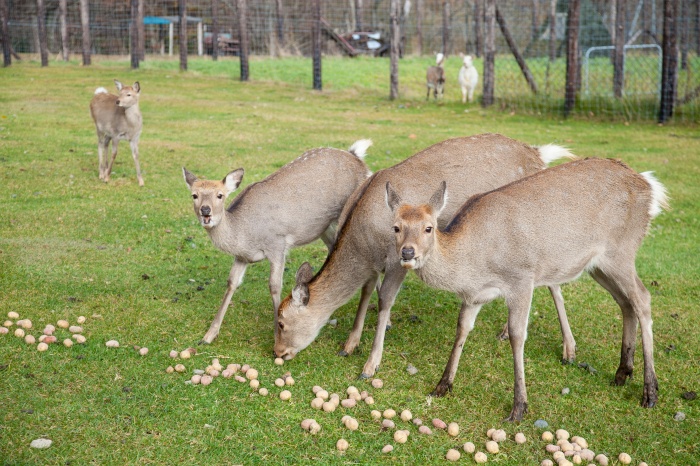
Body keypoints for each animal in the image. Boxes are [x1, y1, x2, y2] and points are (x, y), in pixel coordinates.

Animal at [185, 140, 372, 344]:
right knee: (334, 248)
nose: (205, 211)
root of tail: (357, 156)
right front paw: (208, 335)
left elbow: (274, 286)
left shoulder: (277, 245)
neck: (245, 234)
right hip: (324, 227)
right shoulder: (242, 256)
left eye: (220, 195)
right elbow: (232, 282)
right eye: (194, 195)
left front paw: (276, 332)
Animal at [270, 135, 576, 374]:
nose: (277, 352)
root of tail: (538, 154)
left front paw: (371, 364)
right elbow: (366, 291)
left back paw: (568, 350)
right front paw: (349, 344)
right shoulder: (375, 263)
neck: (362, 241)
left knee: (553, 280)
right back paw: (507, 331)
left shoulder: (398, 260)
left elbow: (384, 300)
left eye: (282, 323)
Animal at [386, 157, 668, 422]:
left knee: (643, 298)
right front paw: (442, 385)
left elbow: (517, 335)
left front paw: (519, 406)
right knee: (625, 302)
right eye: (396, 227)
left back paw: (650, 391)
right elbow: (462, 328)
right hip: (597, 265)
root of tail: (647, 185)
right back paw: (622, 373)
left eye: (428, 227)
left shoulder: (521, 278)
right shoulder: (475, 296)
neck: (474, 264)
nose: (408, 253)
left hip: (622, 251)